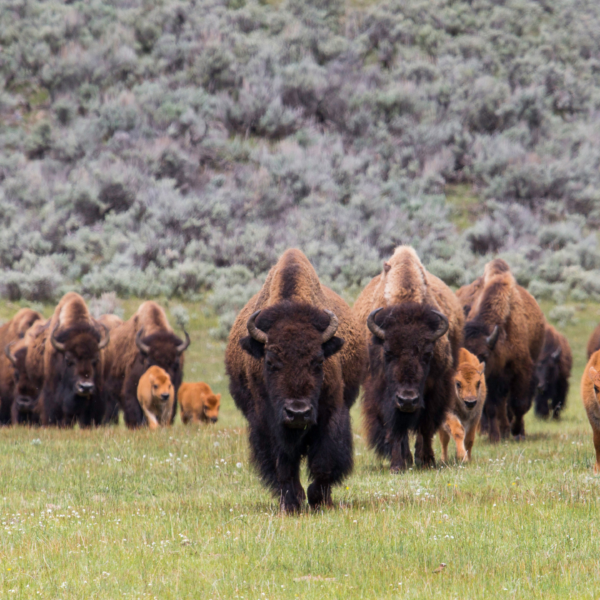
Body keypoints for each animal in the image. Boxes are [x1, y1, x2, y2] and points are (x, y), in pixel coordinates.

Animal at [225, 248, 366, 510]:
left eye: (319, 360)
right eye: (270, 362)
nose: (298, 413)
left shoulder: (331, 412)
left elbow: (324, 460)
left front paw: (319, 499)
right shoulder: (267, 421)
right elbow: (283, 464)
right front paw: (292, 502)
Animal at [354, 246, 466, 472]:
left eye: (427, 354)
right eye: (388, 352)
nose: (407, 400)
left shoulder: (435, 390)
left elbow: (426, 426)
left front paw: (427, 460)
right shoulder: (382, 393)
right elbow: (395, 428)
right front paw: (397, 465)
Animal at [458, 258, 548, 440]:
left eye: (484, 355)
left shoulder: (521, 371)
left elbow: (519, 404)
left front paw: (518, 432)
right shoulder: (491, 380)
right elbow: (492, 408)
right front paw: (494, 437)